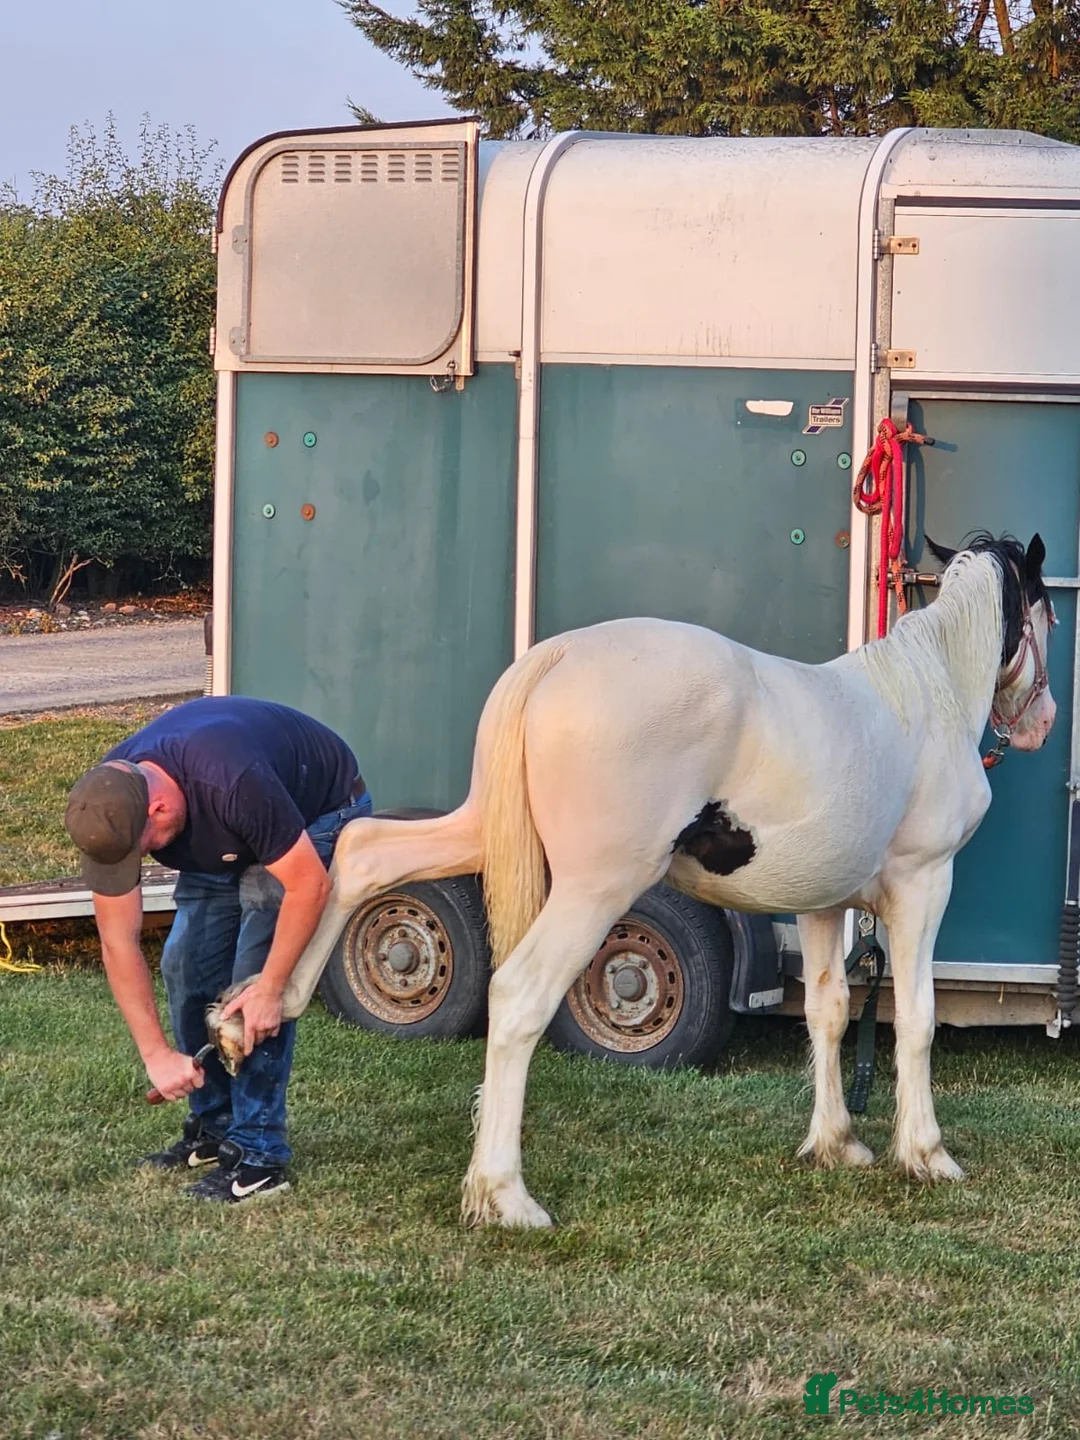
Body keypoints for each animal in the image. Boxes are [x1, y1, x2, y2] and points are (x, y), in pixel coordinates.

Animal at [219, 532, 1055, 1227]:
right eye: (1045, 610)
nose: (1042, 720)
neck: (924, 696)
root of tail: (556, 659)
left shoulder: (821, 906)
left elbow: (827, 1014)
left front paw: (836, 1144)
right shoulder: (923, 886)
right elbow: (915, 1020)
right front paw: (928, 1154)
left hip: (478, 832)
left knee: (362, 853)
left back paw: (257, 1011)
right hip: (594, 888)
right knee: (517, 996)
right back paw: (505, 1196)